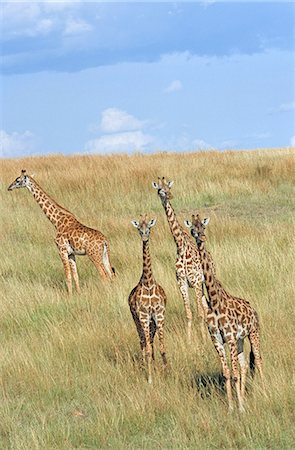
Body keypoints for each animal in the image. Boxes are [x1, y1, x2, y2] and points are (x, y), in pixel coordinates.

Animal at [153, 178, 208, 342]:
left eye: (169, 188)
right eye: (160, 190)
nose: (170, 195)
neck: (180, 245)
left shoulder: (195, 281)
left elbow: (199, 313)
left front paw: (203, 340)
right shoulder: (181, 282)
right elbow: (189, 314)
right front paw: (189, 341)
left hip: (202, 284)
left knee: (205, 310)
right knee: (205, 308)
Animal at [186, 214, 264, 412]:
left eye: (203, 227)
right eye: (192, 229)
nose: (201, 237)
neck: (214, 302)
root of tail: (253, 309)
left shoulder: (229, 337)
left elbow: (234, 373)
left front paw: (240, 408)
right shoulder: (218, 339)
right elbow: (227, 373)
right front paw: (231, 406)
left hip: (253, 333)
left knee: (258, 359)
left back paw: (265, 390)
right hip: (241, 339)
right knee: (244, 365)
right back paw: (243, 397)